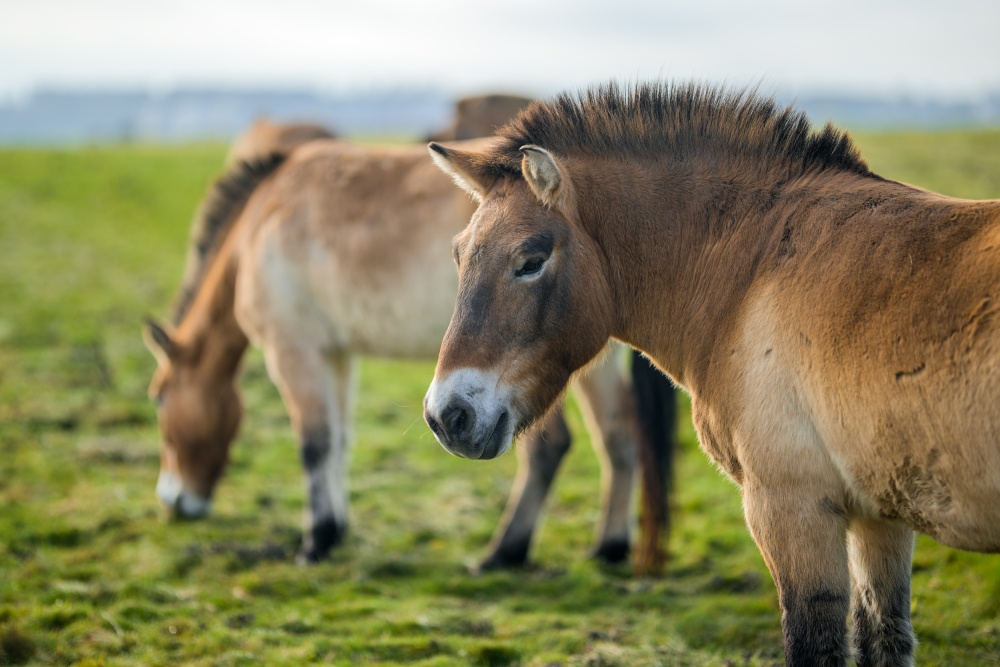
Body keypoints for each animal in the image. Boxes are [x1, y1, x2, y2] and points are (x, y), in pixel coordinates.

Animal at [143, 124, 672, 568]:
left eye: (159, 398)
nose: (173, 500)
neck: (261, 220)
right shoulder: (337, 354)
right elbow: (339, 440)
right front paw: (336, 529)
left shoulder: (295, 351)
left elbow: (314, 443)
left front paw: (317, 541)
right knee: (619, 434)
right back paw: (609, 545)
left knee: (551, 447)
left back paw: (505, 551)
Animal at [422, 81, 1000, 664]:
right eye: (458, 255)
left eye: (531, 260)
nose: (447, 416)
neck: (753, 272)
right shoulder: (879, 516)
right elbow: (884, 634)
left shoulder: (792, 508)